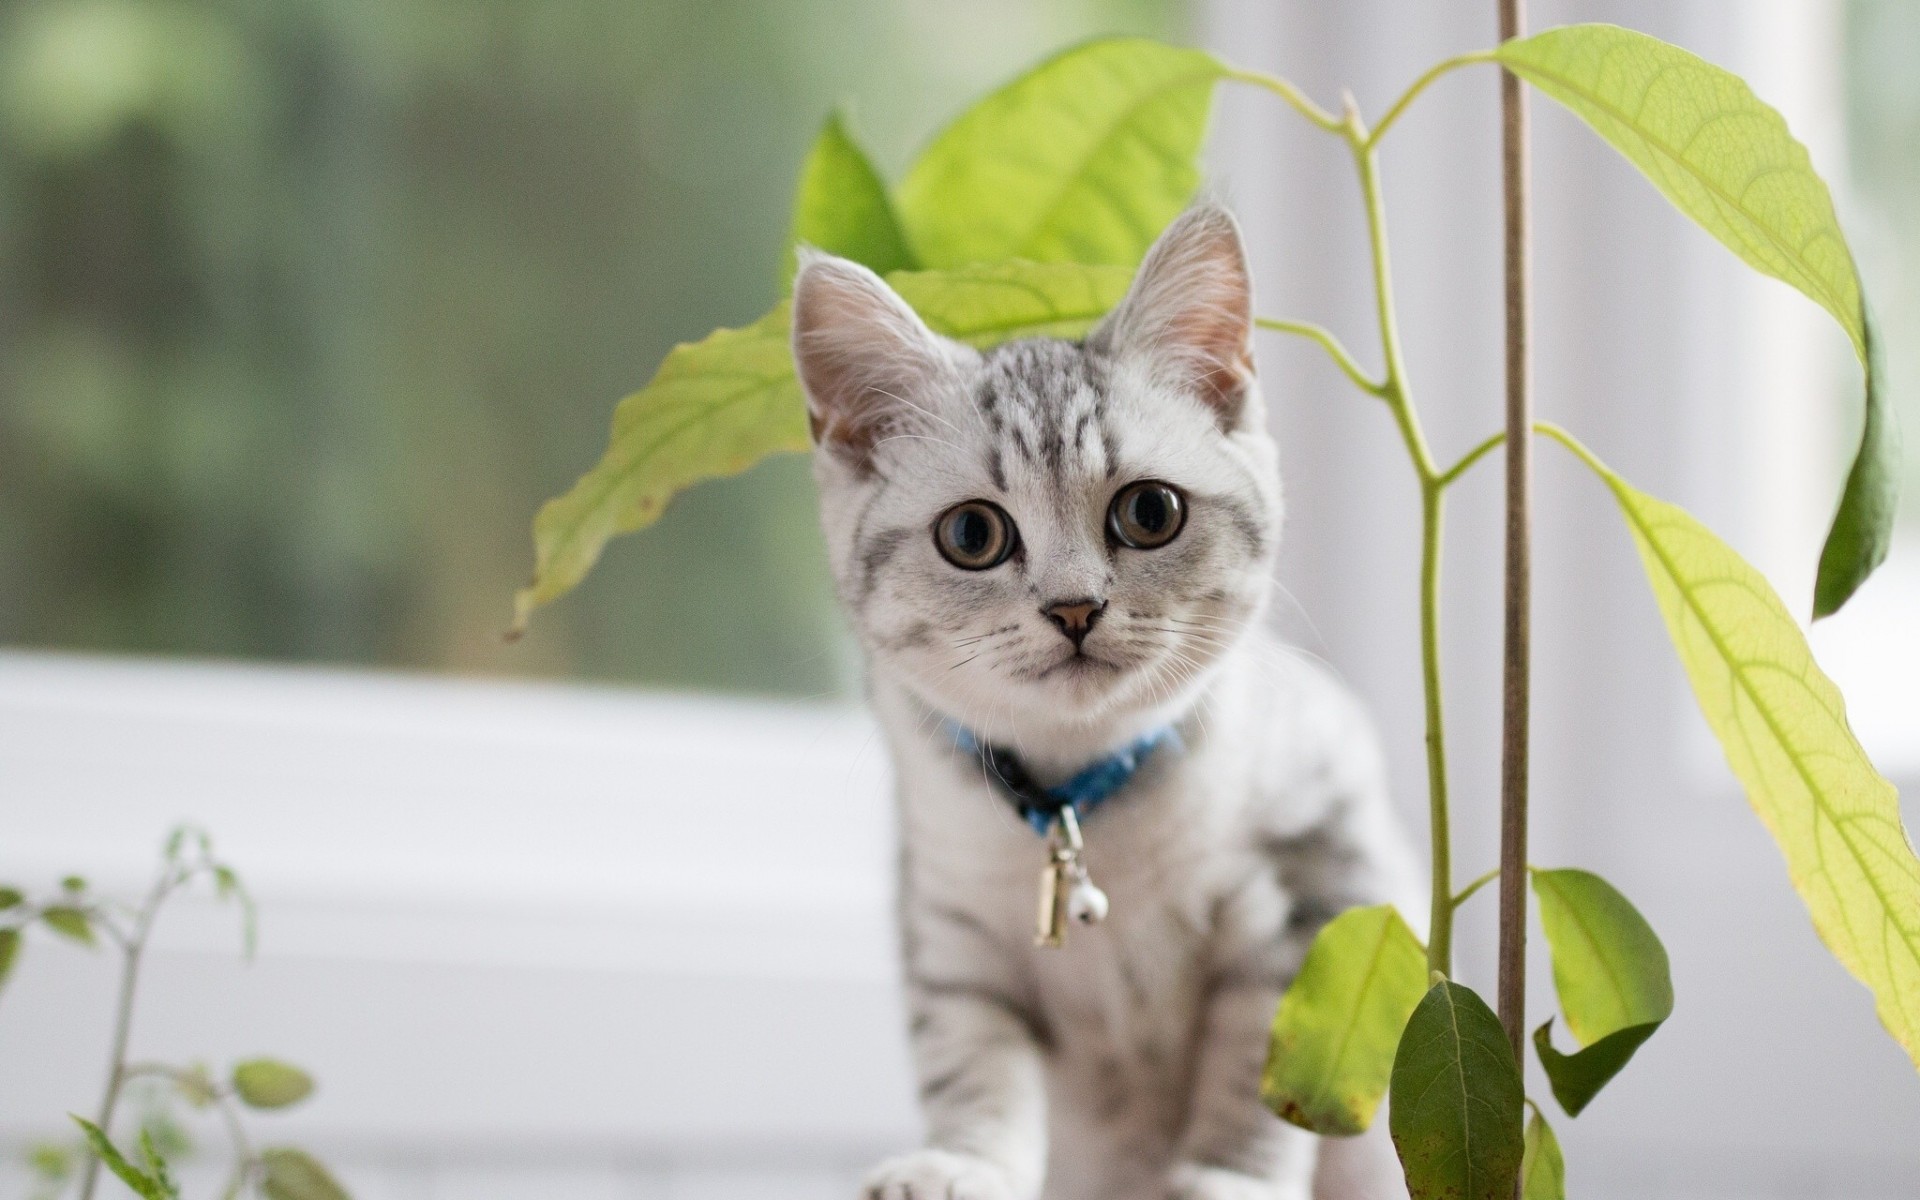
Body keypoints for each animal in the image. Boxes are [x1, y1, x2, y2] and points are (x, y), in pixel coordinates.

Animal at [787, 203, 1420, 1198]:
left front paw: (1226, 1180)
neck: (1082, 798)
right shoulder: (952, 933)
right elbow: (971, 1064)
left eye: (1150, 513)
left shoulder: (1312, 886)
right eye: (973, 534)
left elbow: (1263, 1078)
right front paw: (960, 1164)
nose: (1074, 607)